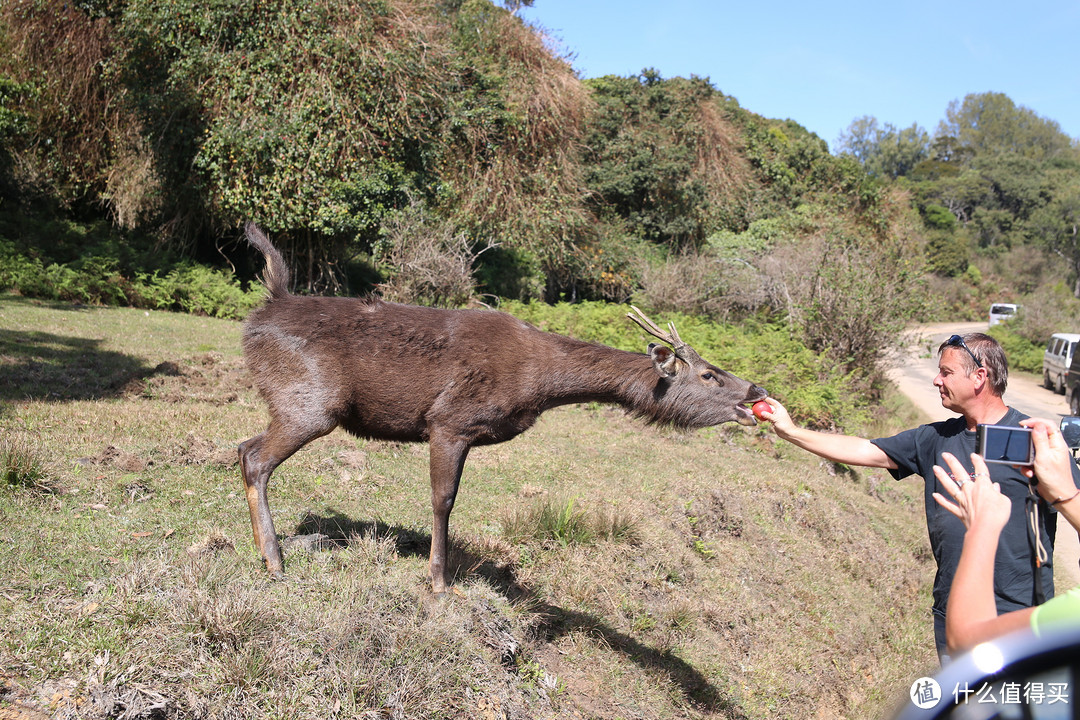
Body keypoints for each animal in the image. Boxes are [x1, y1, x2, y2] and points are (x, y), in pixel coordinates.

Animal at [240, 222, 768, 595]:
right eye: (708, 374)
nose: (756, 391)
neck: (538, 385)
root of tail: (265, 307)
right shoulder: (449, 421)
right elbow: (443, 501)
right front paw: (439, 583)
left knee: (244, 446)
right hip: (310, 401)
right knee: (255, 458)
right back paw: (275, 562)